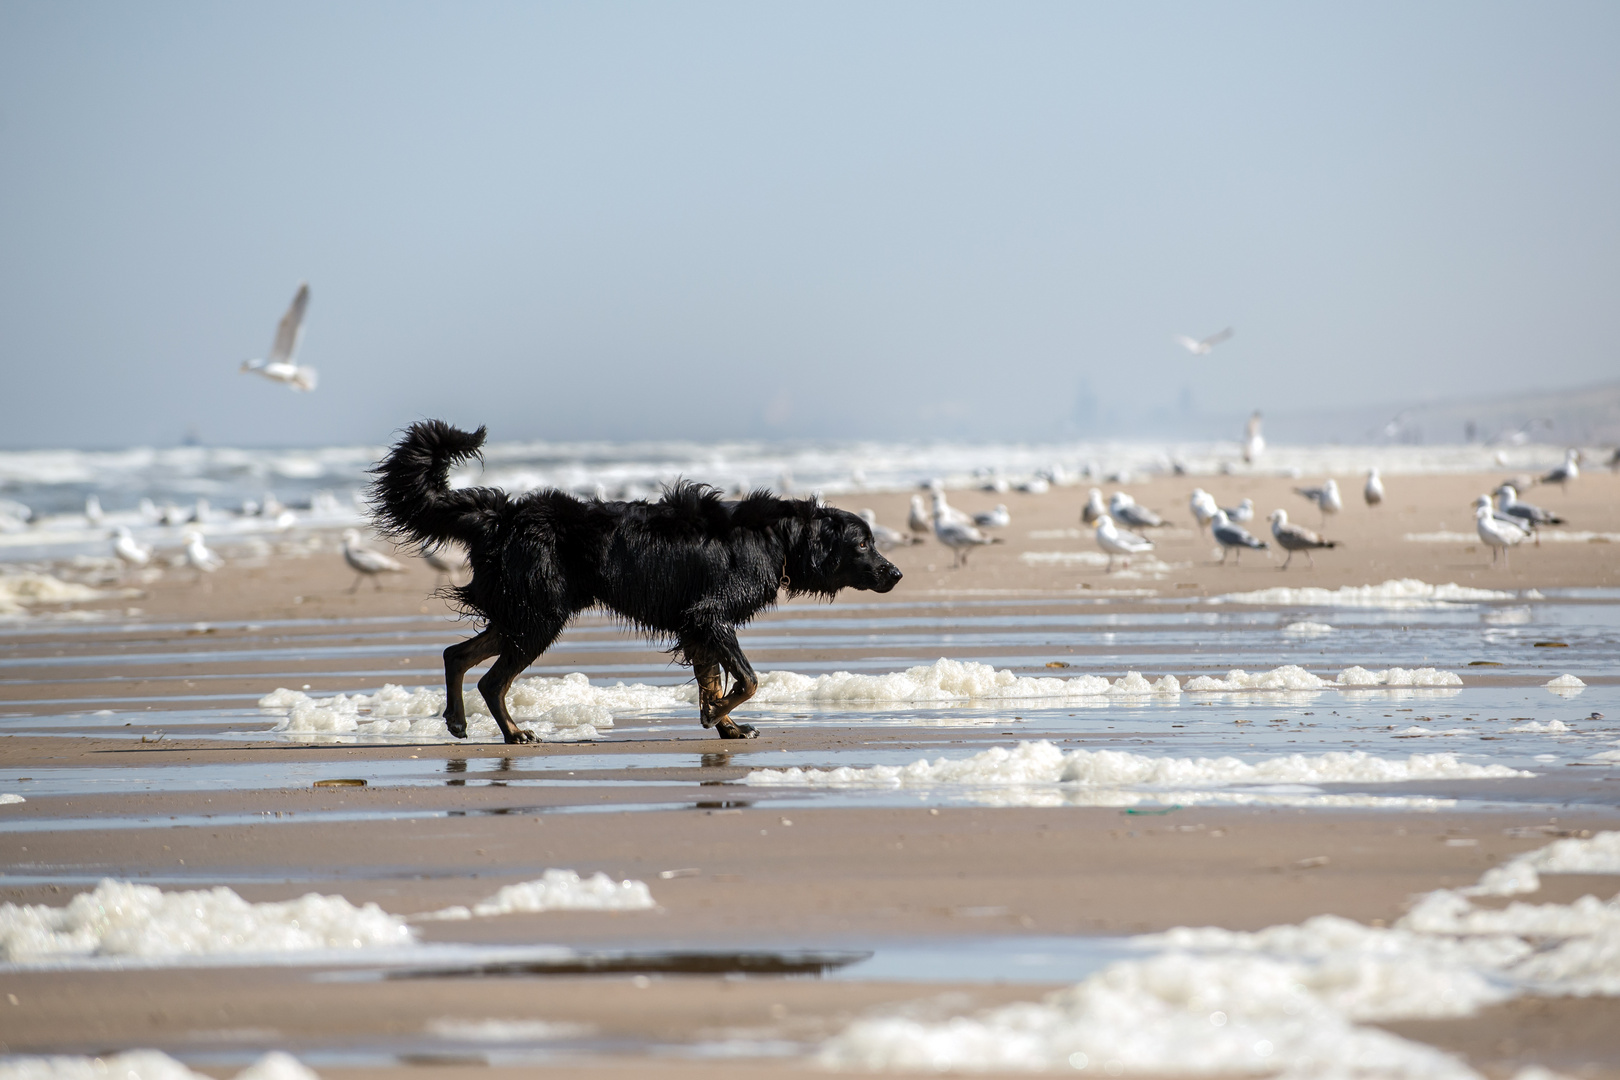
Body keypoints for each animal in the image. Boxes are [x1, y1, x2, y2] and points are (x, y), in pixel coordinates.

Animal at [367, 420, 907, 744]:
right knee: (491, 678)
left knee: (456, 655)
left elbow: (713, 680)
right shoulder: (709, 615)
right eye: (863, 543)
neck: (778, 536)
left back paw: (459, 722)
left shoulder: (697, 625)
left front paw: (724, 725)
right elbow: (748, 679)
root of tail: (502, 517)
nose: (897, 572)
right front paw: (719, 715)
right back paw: (515, 733)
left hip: (521, 611)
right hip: (540, 615)